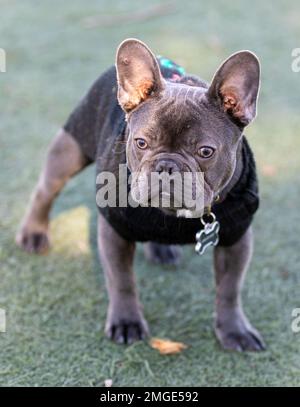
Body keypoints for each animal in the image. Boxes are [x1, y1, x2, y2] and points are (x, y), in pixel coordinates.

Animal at [16, 39, 264, 350]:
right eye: (141, 142)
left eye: (205, 151)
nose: (166, 165)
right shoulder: (115, 230)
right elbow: (122, 280)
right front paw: (127, 322)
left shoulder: (236, 238)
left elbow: (230, 289)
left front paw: (234, 330)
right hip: (71, 147)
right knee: (45, 191)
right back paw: (33, 233)